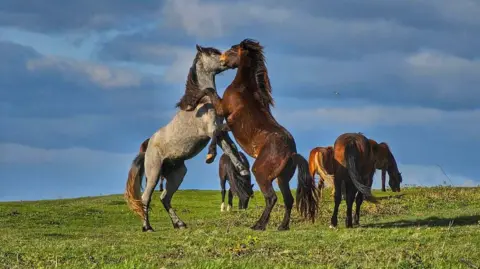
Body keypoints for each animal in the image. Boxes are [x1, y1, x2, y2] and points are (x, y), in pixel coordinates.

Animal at [124, 44, 251, 230]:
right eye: (213, 53)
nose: (229, 60)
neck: (202, 102)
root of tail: (147, 147)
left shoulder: (221, 130)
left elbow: (230, 147)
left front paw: (242, 168)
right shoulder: (211, 129)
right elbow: (219, 140)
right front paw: (210, 156)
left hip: (177, 174)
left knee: (165, 197)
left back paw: (179, 224)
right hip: (154, 173)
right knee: (146, 198)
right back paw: (147, 227)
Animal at [184, 38, 318, 230]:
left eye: (233, 50)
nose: (222, 59)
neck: (243, 88)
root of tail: (292, 153)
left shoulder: (225, 116)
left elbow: (212, 110)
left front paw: (210, 154)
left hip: (261, 173)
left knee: (271, 198)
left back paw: (259, 225)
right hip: (282, 179)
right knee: (288, 200)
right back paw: (282, 226)